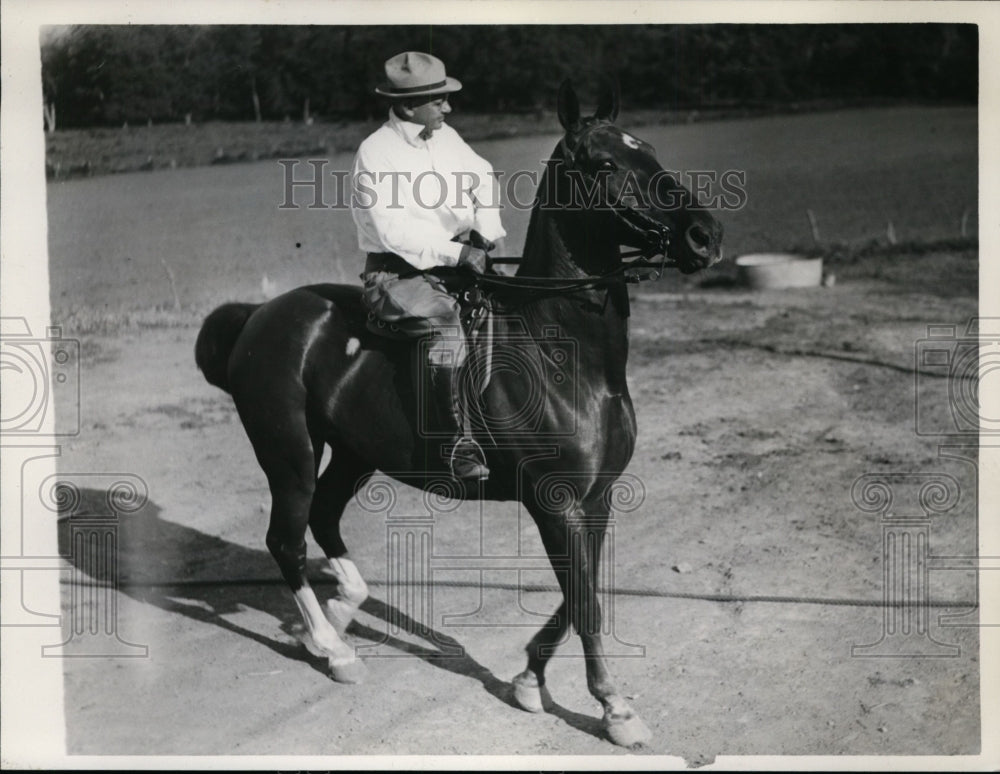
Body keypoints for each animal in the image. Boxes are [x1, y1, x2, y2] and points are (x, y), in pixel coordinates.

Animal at [195, 82, 724, 748]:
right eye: (604, 164)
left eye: (648, 149)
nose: (705, 235)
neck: (561, 357)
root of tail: (260, 316)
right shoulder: (554, 503)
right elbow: (584, 602)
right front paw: (614, 709)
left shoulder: (596, 499)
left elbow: (581, 591)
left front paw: (528, 680)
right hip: (288, 452)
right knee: (286, 540)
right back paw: (333, 649)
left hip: (354, 454)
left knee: (323, 518)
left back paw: (340, 612)